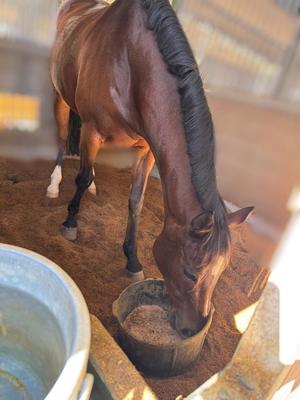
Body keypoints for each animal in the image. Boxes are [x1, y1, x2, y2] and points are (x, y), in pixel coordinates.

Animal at [47, 0, 253, 338]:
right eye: (190, 271)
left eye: (223, 271)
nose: (193, 328)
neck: (130, 65)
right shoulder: (91, 132)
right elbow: (82, 175)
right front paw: (70, 222)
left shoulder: (147, 149)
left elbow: (136, 201)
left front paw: (132, 260)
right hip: (60, 98)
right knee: (64, 141)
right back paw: (53, 185)